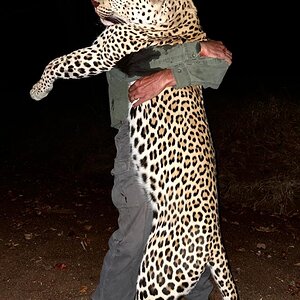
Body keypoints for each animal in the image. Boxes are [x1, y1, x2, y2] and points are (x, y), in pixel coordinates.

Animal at [29, 1, 239, 298]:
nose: (94, 3)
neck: (179, 18)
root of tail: (215, 244)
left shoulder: (101, 53)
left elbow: (57, 62)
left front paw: (39, 89)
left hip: (156, 275)